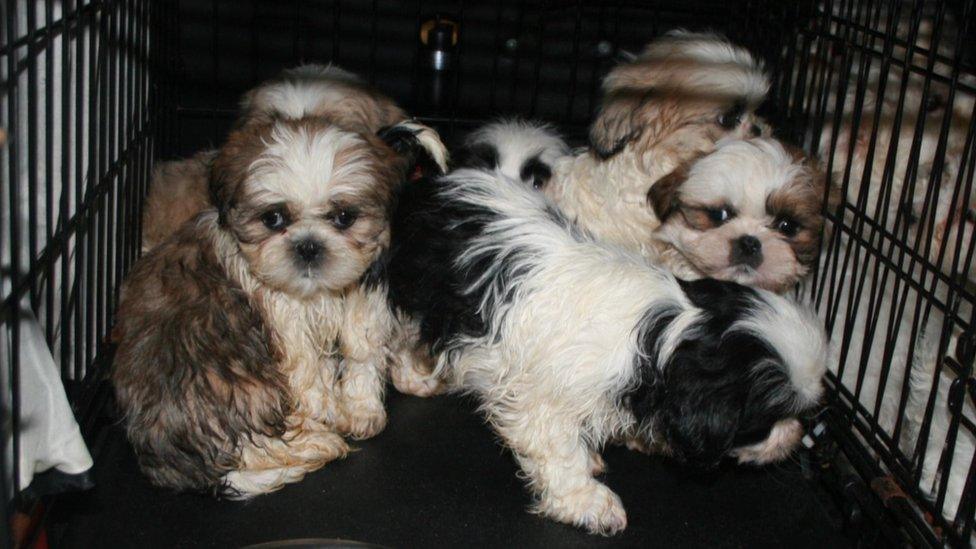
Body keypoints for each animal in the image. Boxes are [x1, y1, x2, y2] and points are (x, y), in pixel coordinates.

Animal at [109, 115, 438, 496]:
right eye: (273, 219)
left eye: (344, 217)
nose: (308, 245)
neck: (317, 293)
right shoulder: (285, 321)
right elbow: (311, 370)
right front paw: (332, 411)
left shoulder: (367, 296)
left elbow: (363, 351)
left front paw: (368, 406)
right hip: (237, 386)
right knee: (253, 442)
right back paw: (316, 442)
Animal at [386, 168, 828, 536]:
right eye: (767, 420)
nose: (796, 434)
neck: (664, 337)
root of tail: (433, 182)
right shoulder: (542, 401)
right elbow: (558, 452)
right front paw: (587, 501)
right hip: (419, 295)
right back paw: (414, 375)